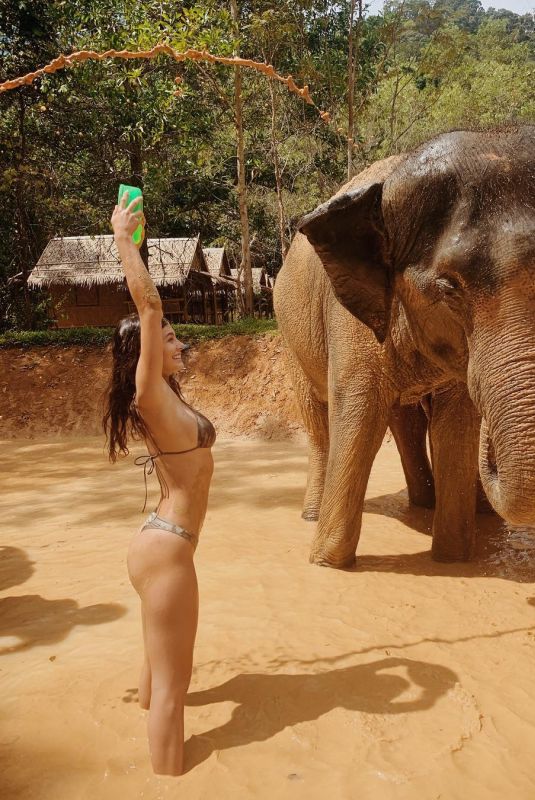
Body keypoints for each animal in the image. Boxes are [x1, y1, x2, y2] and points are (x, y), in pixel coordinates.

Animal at [274, 126, 535, 568]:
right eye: (449, 288)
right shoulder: (350, 317)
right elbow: (358, 412)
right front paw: (327, 563)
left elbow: (455, 424)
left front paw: (452, 559)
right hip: (288, 332)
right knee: (318, 421)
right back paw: (311, 515)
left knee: (407, 420)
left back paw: (433, 505)